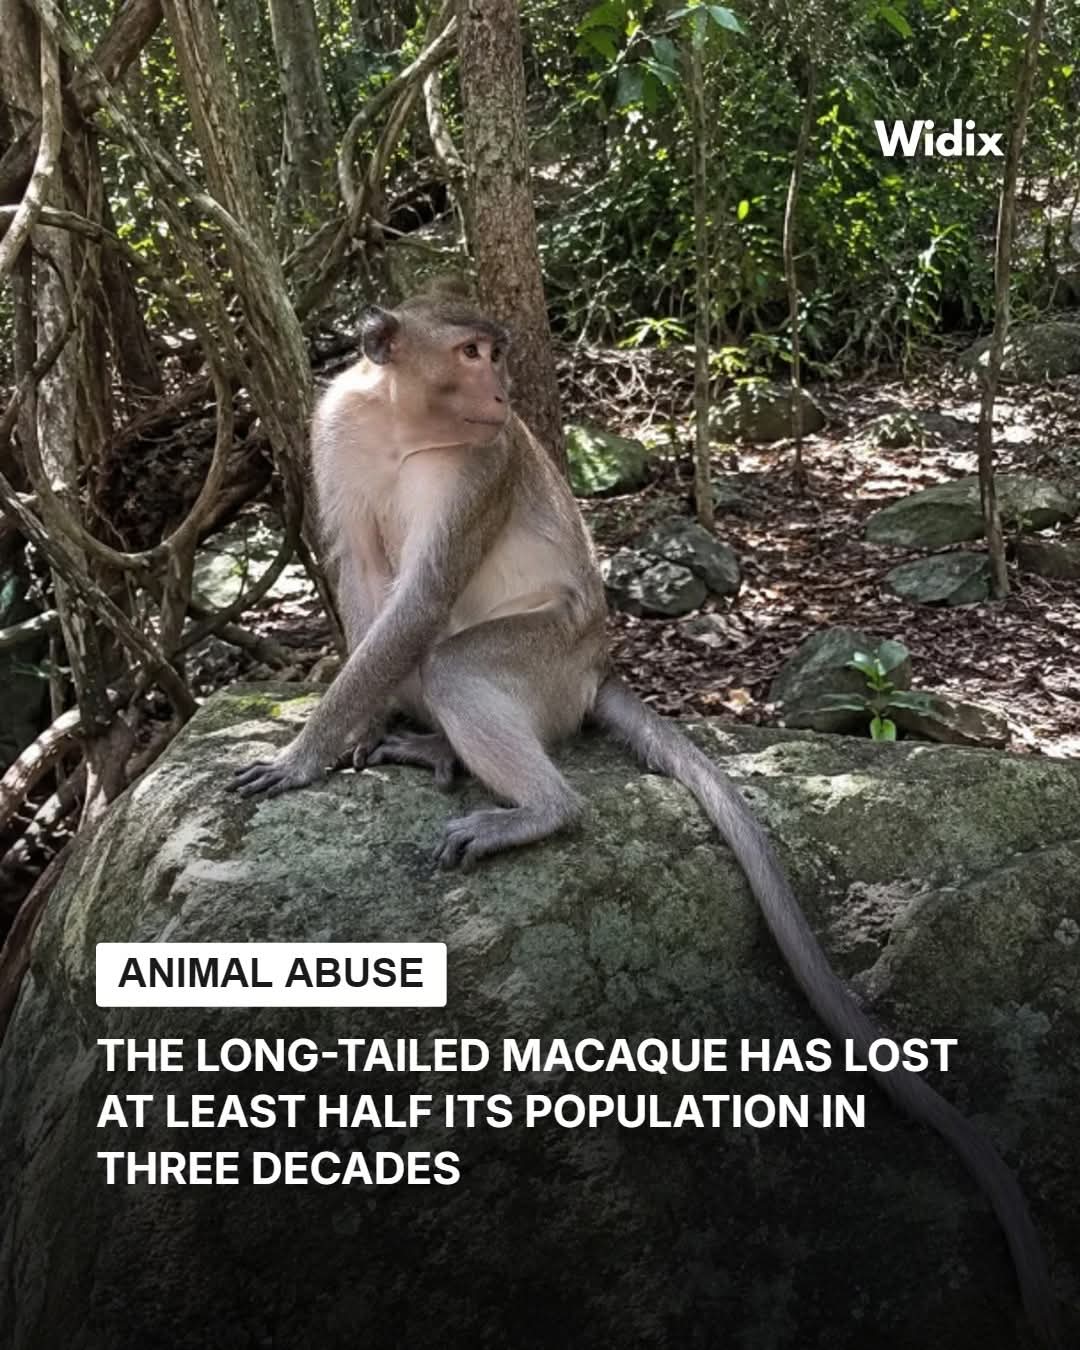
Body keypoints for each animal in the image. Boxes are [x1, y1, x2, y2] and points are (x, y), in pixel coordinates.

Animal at [230, 290, 1060, 1346]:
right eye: (472, 352)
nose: (504, 389)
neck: (403, 424)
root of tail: (597, 669)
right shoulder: (334, 432)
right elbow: (363, 588)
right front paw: (341, 735)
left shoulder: (482, 465)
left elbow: (415, 605)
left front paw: (302, 754)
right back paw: (441, 754)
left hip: (548, 659)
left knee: (453, 659)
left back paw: (538, 809)